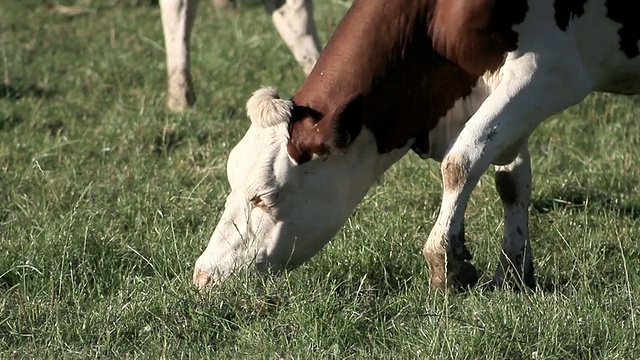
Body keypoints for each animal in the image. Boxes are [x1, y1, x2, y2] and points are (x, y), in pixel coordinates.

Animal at [190, 0, 640, 292]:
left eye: (264, 197)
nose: (202, 275)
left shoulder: (550, 69)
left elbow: (462, 161)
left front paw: (447, 262)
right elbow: (510, 180)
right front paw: (513, 274)